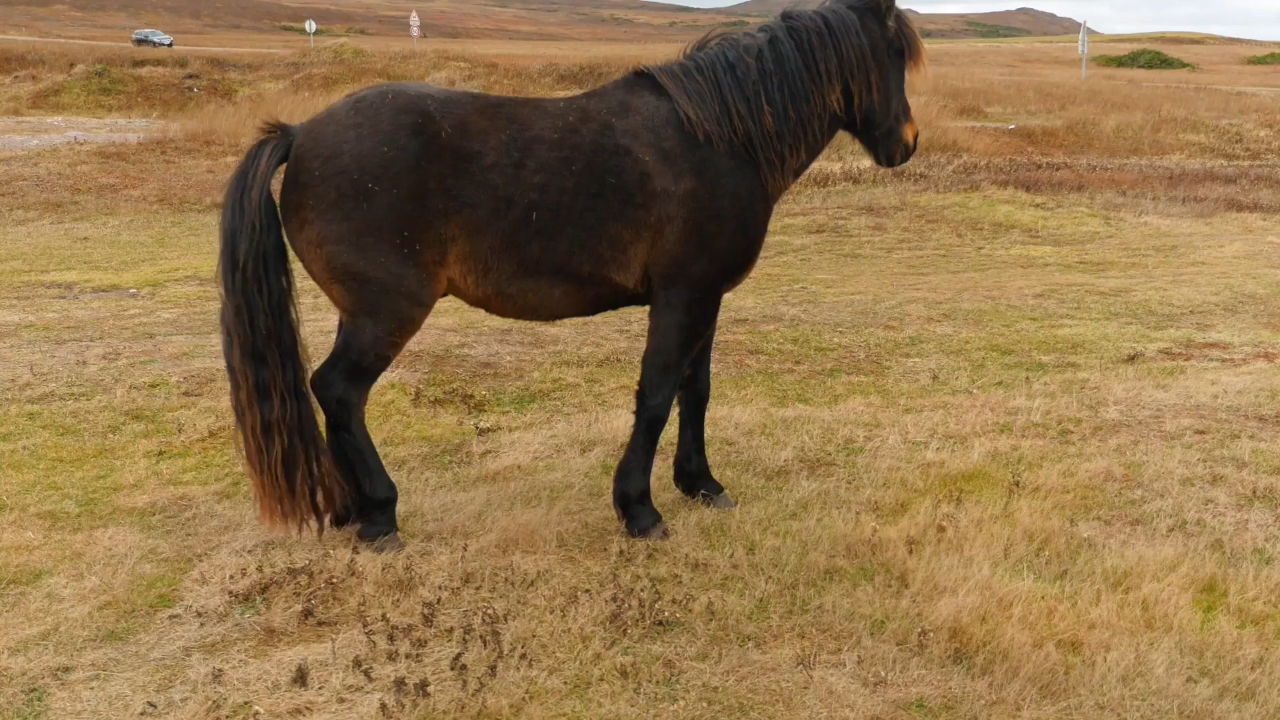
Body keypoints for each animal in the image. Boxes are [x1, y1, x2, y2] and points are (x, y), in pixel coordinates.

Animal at [217, 0, 921, 543]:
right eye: (893, 52)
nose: (907, 144)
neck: (720, 140)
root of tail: (300, 134)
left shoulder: (706, 298)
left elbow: (695, 390)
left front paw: (701, 484)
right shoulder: (682, 297)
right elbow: (656, 394)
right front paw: (639, 509)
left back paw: (352, 508)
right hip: (385, 313)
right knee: (339, 391)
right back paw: (380, 515)